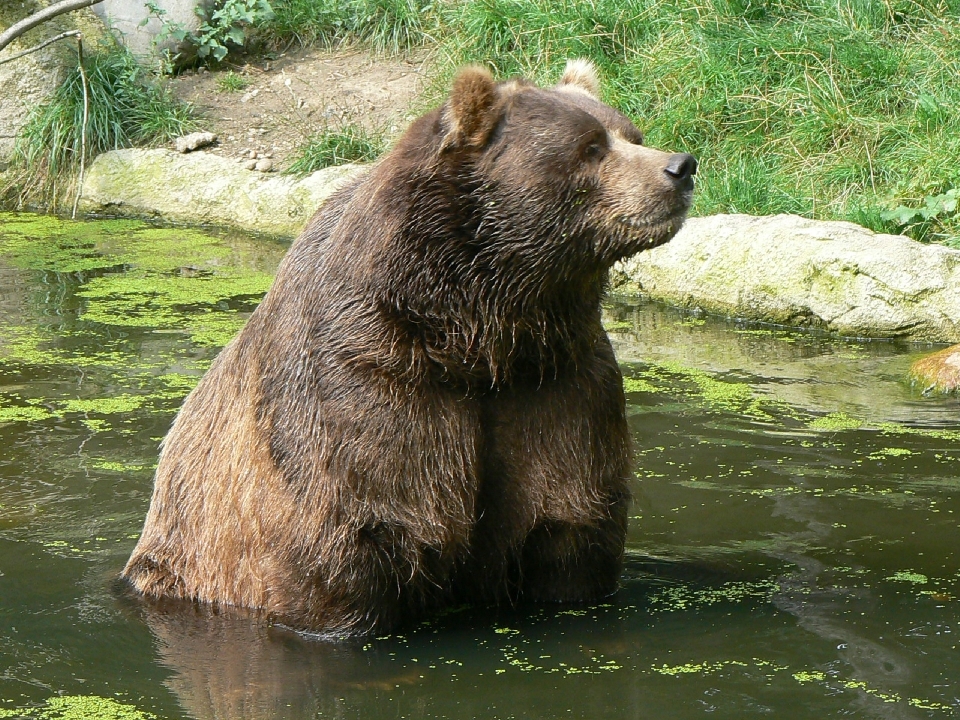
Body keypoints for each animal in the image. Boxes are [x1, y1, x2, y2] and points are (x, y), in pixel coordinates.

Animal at [124, 60, 696, 636]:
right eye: (590, 146)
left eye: (631, 134)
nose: (680, 166)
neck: (476, 332)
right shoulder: (367, 382)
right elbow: (347, 539)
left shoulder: (559, 380)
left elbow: (570, 524)